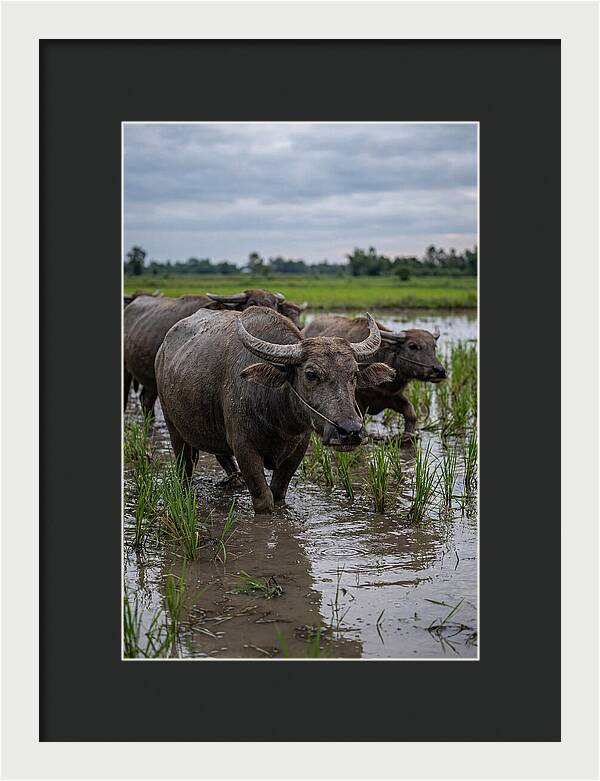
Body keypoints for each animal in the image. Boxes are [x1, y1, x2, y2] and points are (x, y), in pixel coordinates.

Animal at [155, 306, 395, 514]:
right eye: (311, 374)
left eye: (353, 374)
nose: (350, 431)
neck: (279, 419)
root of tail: (162, 350)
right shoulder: (244, 448)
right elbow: (264, 500)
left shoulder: (297, 450)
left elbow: (278, 493)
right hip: (173, 426)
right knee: (185, 467)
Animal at [303, 314, 446, 441]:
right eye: (413, 346)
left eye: (434, 346)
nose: (439, 370)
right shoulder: (357, 402)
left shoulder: (392, 396)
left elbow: (411, 413)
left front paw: (408, 436)